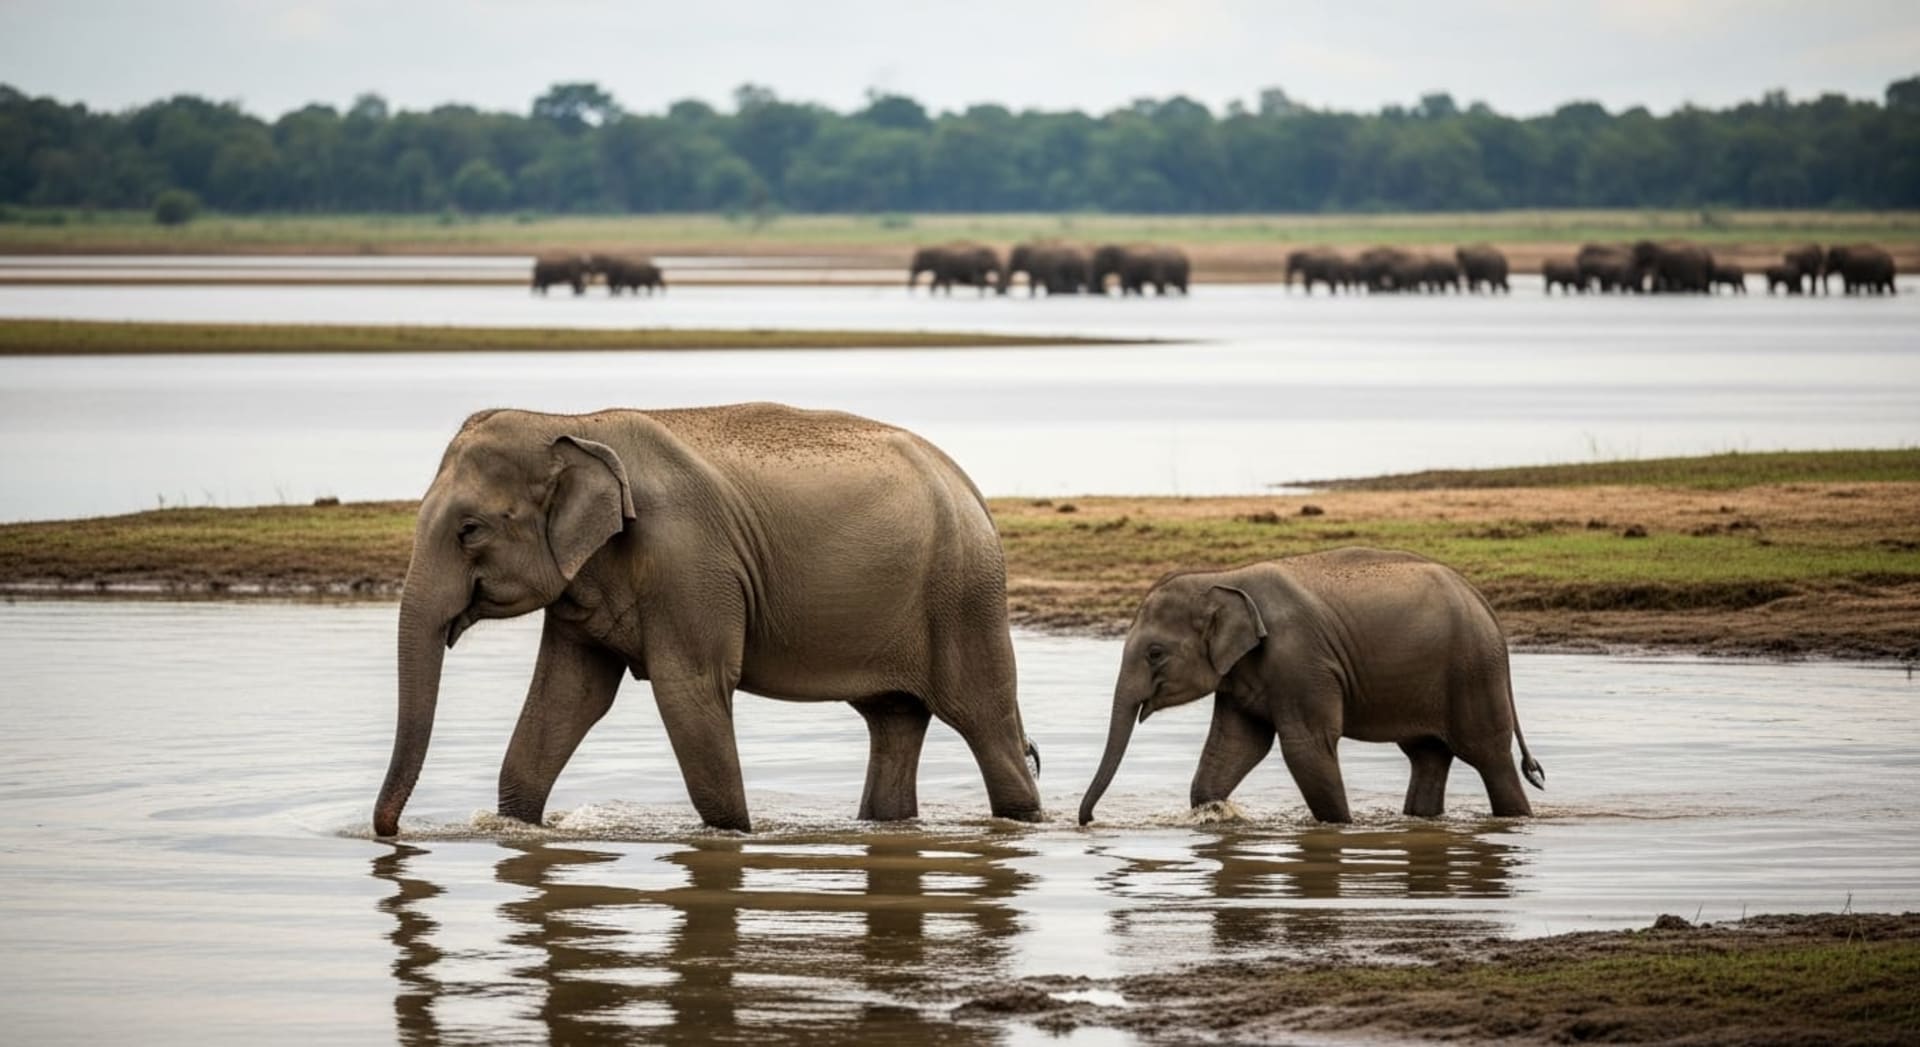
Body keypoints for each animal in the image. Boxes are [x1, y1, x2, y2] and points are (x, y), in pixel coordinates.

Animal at [370, 403, 1045, 838]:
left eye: (469, 529)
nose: (391, 834)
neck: (574, 425)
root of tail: (970, 487)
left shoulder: (688, 559)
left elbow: (689, 689)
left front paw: (734, 836)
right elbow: (570, 696)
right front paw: (513, 825)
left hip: (964, 595)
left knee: (984, 720)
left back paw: (1022, 818)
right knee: (895, 719)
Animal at [1078, 549, 1545, 826]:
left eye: (1155, 653)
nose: (1088, 821)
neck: (1224, 577)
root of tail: (1481, 599)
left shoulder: (1300, 660)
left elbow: (1306, 747)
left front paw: (1340, 828)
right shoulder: (1241, 673)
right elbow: (1236, 745)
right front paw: (1216, 813)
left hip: (1474, 671)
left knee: (1487, 755)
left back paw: (1516, 820)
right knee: (1428, 755)